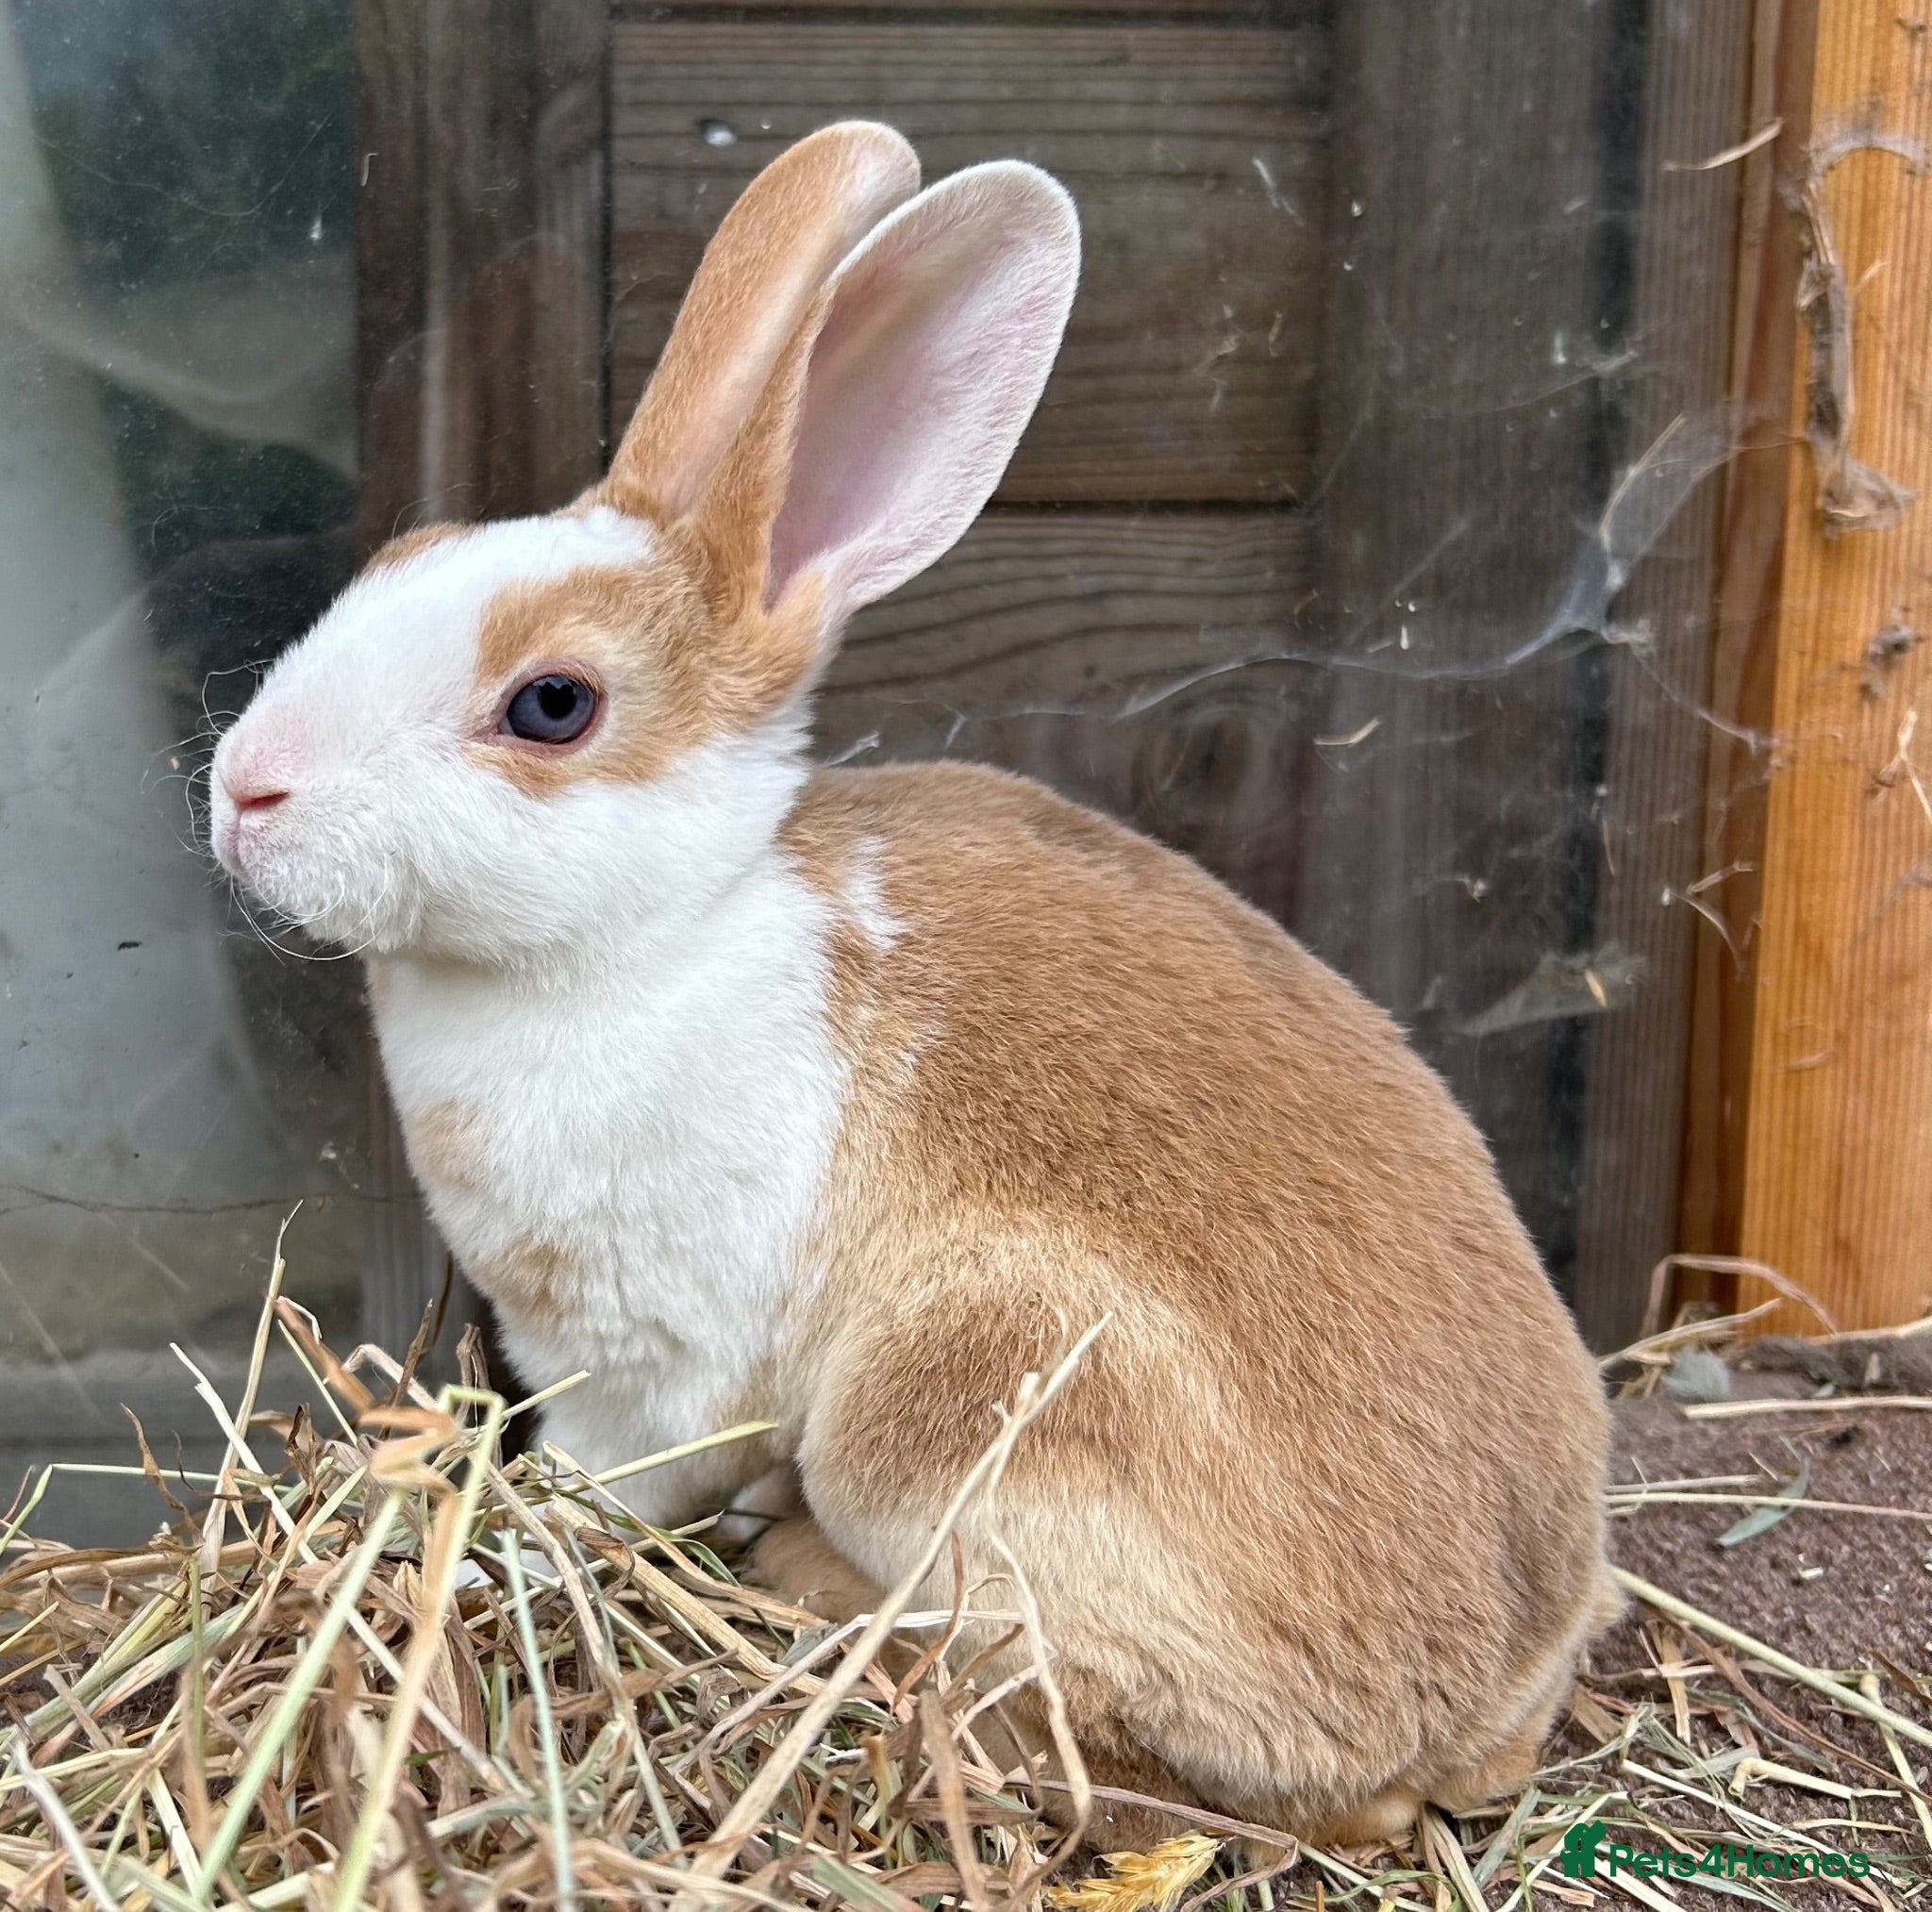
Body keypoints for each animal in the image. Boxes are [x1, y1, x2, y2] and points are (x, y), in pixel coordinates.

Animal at [209, 120, 1614, 1850]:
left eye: (551, 704)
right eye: (399, 557)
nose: (241, 787)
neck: (656, 932)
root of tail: (1472, 1713)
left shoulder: (650, 1364)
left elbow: (615, 1475)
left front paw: (529, 1517)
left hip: (961, 1404)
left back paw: (809, 1575)